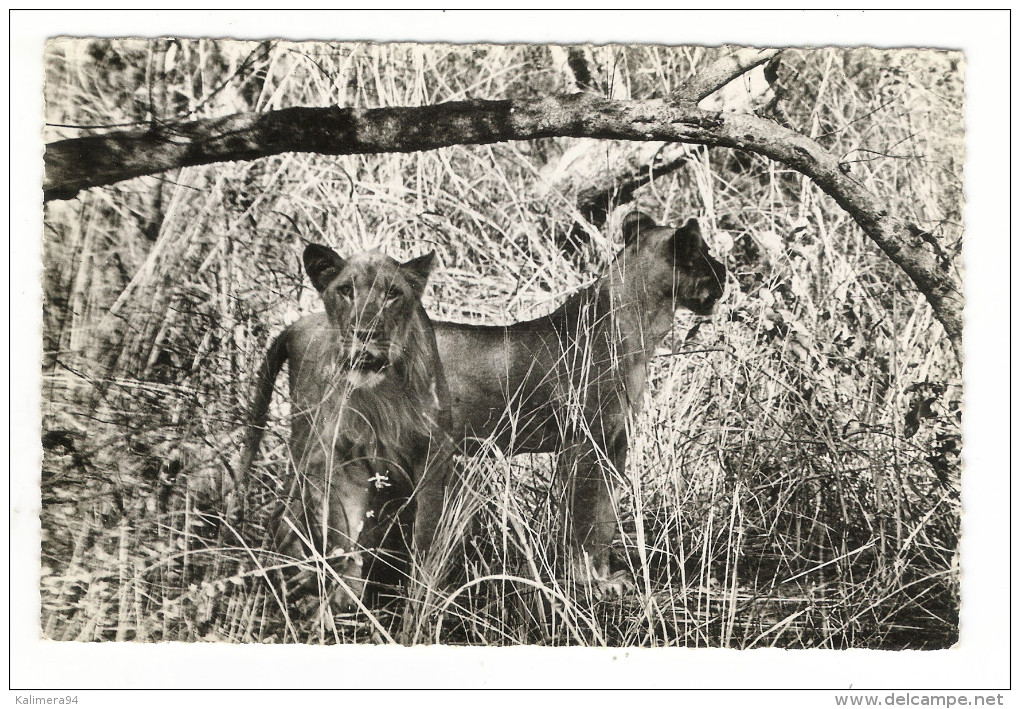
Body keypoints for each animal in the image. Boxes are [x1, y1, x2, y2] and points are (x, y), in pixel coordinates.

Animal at [238, 242, 454, 612]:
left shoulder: (433, 453)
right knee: (285, 514)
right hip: (305, 446)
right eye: (345, 291)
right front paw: (344, 597)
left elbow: (426, 533)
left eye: (392, 294)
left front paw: (422, 597)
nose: (364, 333)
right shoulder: (340, 458)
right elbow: (343, 534)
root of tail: (297, 324)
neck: (382, 395)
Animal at [434, 211, 730, 591]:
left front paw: (605, 576)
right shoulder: (585, 443)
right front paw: (590, 580)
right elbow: (586, 516)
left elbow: (605, 517)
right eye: (702, 251)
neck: (640, 330)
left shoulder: (616, 442)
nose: (724, 270)